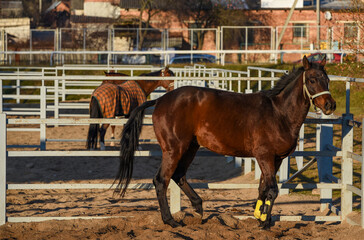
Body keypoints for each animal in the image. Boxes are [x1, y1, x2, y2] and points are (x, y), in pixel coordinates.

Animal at [114, 56, 336, 229]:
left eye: (327, 80)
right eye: (312, 79)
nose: (330, 105)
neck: (278, 112)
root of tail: (160, 100)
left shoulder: (276, 159)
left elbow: (263, 188)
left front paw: (259, 216)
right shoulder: (264, 156)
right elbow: (272, 189)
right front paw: (265, 222)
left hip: (190, 148)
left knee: (179, 175)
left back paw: (198, 207)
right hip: (174, 149)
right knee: (162, 180)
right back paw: (171, 220)